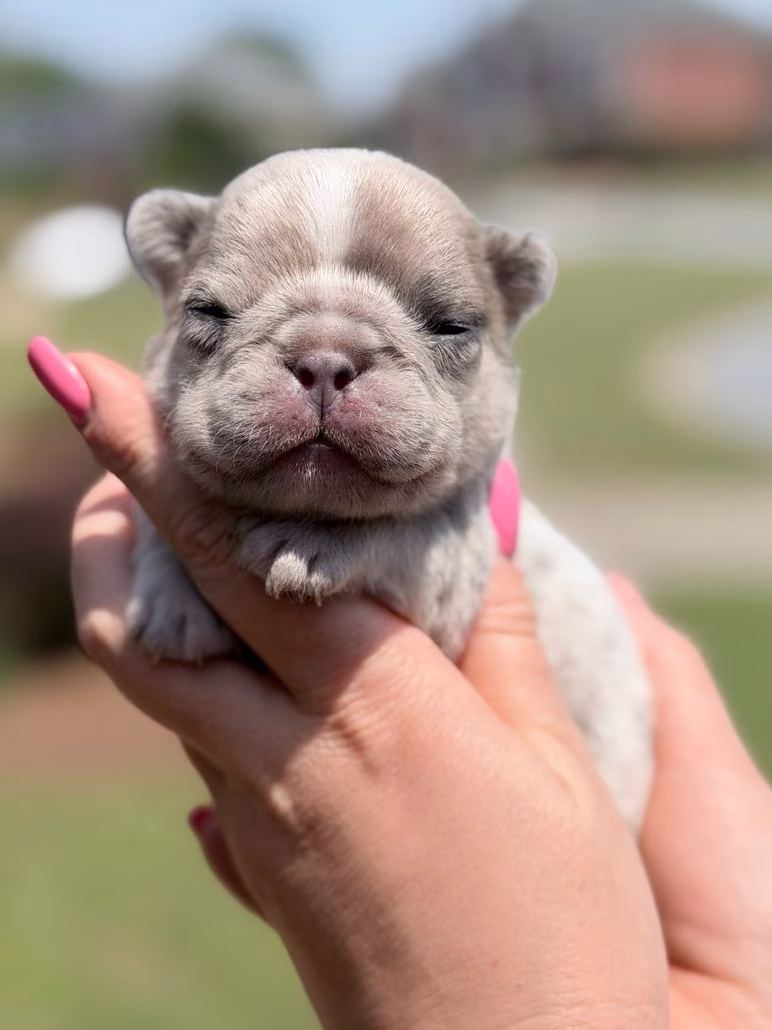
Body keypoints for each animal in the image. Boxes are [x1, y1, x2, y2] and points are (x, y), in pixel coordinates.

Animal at [125, 148, 653, 830]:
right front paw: (171, 602)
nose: (325, 357)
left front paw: (311, 545)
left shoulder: (454, 569)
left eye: (450, 326)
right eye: (208, 312)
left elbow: (403, 529)